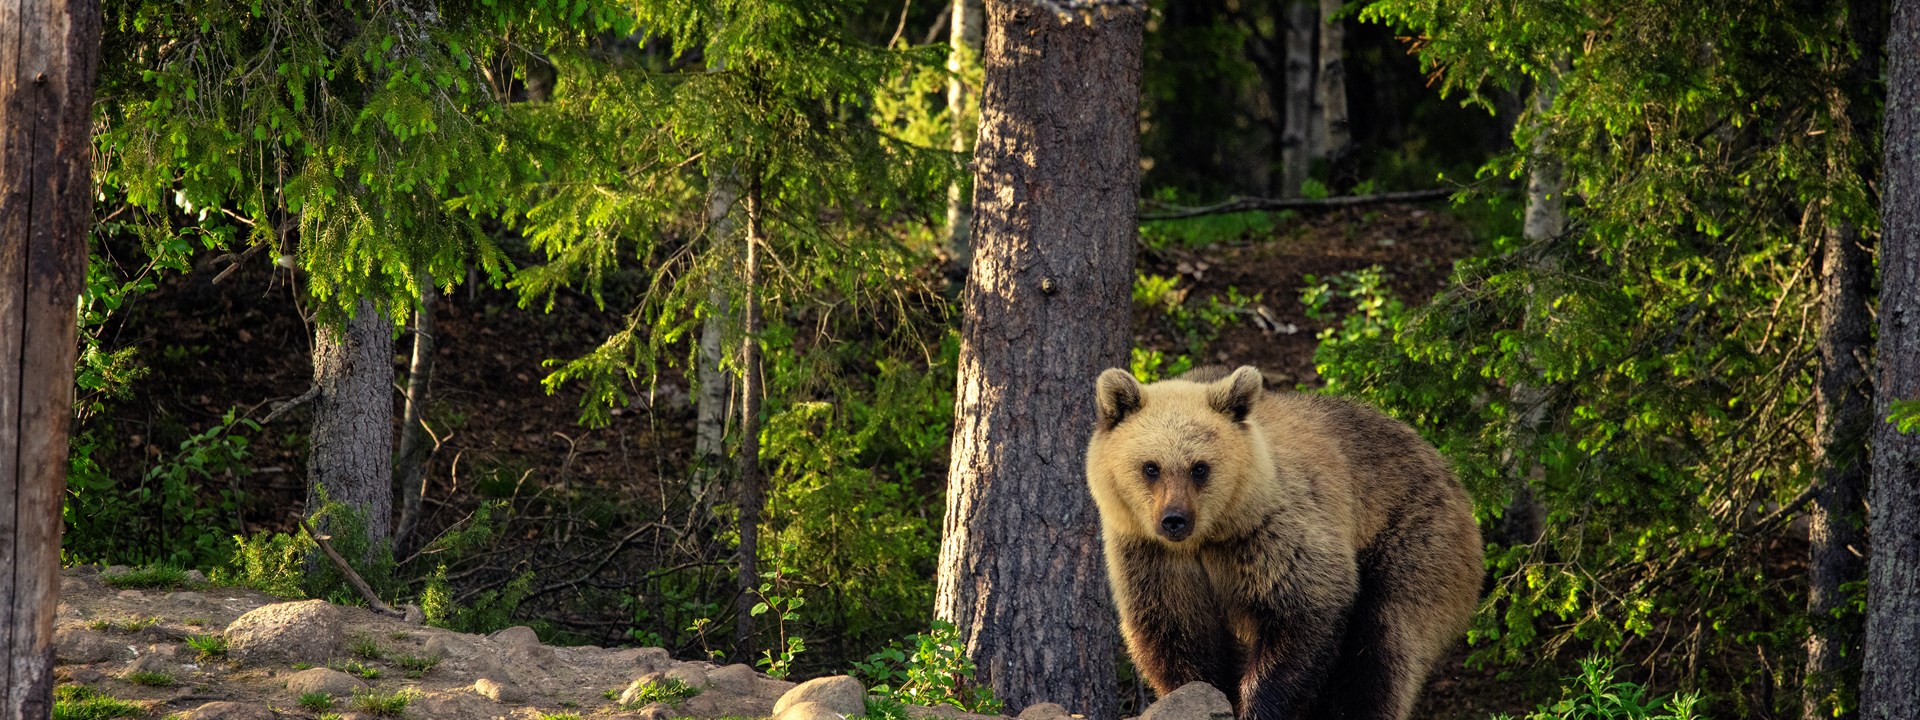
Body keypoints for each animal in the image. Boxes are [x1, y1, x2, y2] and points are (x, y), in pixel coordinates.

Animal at [1085, 365, 1483, 720]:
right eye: (1151, 467)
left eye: (1199, 467)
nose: (1175, 519)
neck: (1210, 537)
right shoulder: (1154, 559)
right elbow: (1177, 637)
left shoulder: (1272, 536)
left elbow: (1302, 614)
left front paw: (1258, 704)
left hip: (1412, 540)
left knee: (1381, 648)